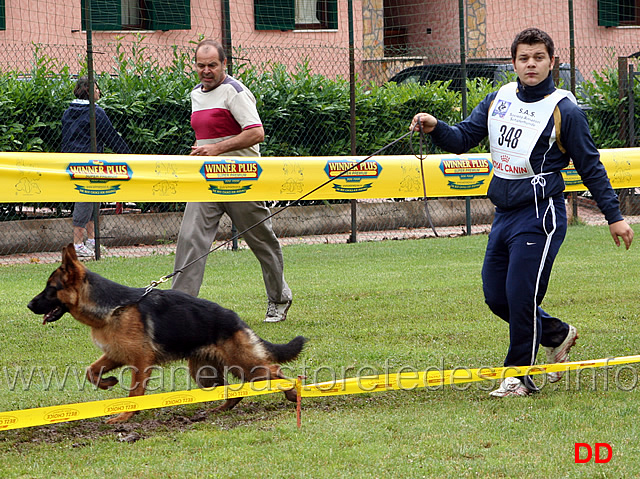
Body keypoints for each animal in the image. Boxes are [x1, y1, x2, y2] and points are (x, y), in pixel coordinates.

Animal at [29, 246, 308, 426]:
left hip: (245, 364)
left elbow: (134, 394)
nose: (29, 305)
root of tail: (236, 319)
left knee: (275, 370)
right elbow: (91, 371)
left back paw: (293, 394)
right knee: (235, 390)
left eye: (50, 289)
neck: (113, 306)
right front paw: (108, 383)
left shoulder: (140, 362)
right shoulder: (115, 354)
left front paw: (125, 417)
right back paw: (219, 409)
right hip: (206, 374)